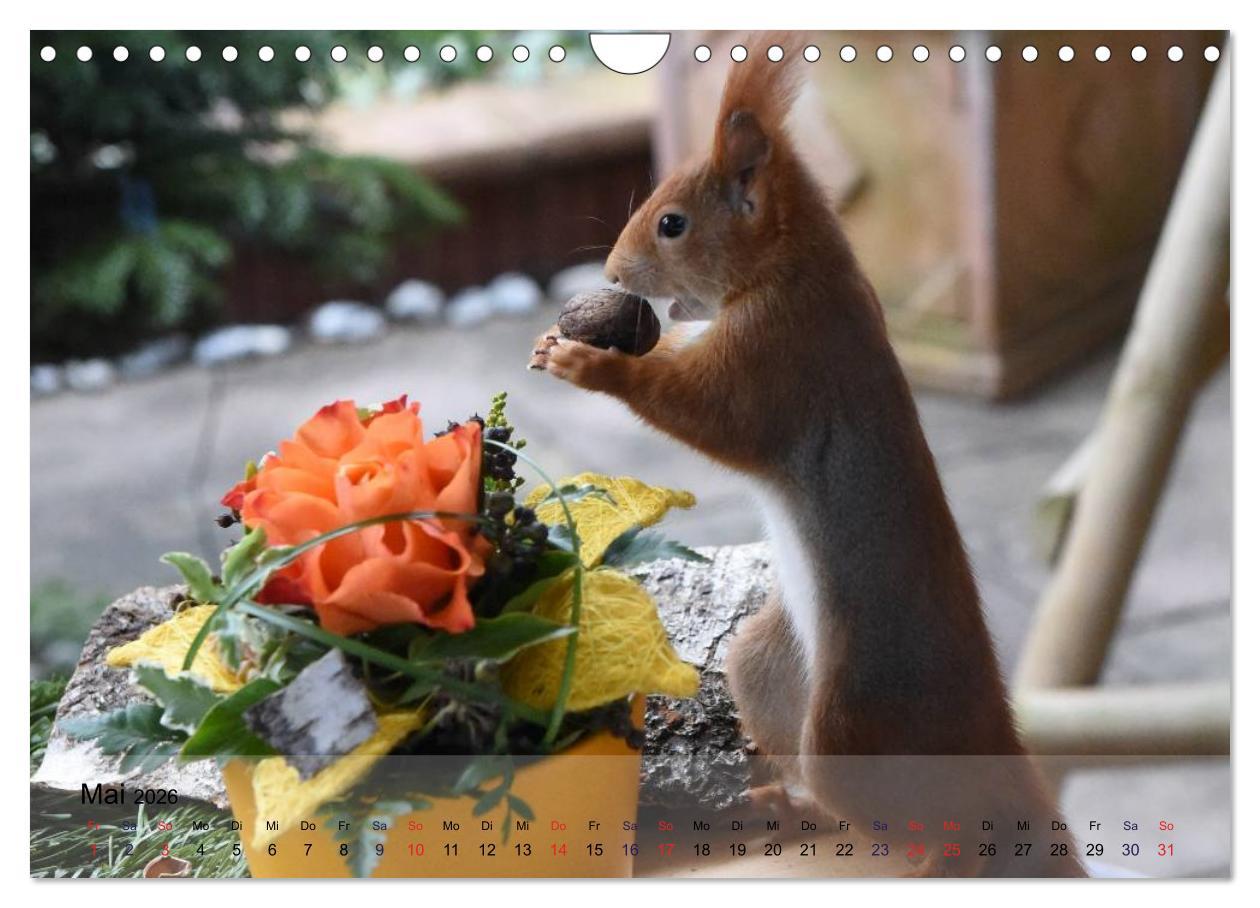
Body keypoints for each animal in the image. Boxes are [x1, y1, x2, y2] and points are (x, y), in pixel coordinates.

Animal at [530, 33, 1084, 878]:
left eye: (672, 223)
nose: (614, 276)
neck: (796, 267)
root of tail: (991, 733)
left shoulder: (778, 354)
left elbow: (710, 413)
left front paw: (591, 365)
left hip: (856, 726)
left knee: (930, 818)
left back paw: (929, 855)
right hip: (767, 662)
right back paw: (787, 807)